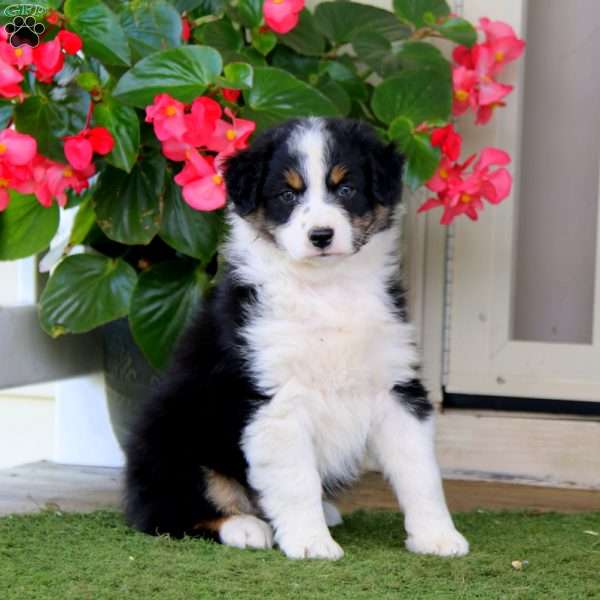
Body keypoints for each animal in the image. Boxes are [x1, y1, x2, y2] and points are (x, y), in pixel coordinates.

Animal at [123, 118, 468, 564]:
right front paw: (310, 543)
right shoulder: (276, 401)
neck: (327, 289)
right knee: (167, 512)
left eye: (345, 188)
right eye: (288, 194)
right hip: (173, 438)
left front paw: (437, 537)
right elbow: (295, 480)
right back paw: (245, 526)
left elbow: (420, 472)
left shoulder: (396, 385)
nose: (321, 235)